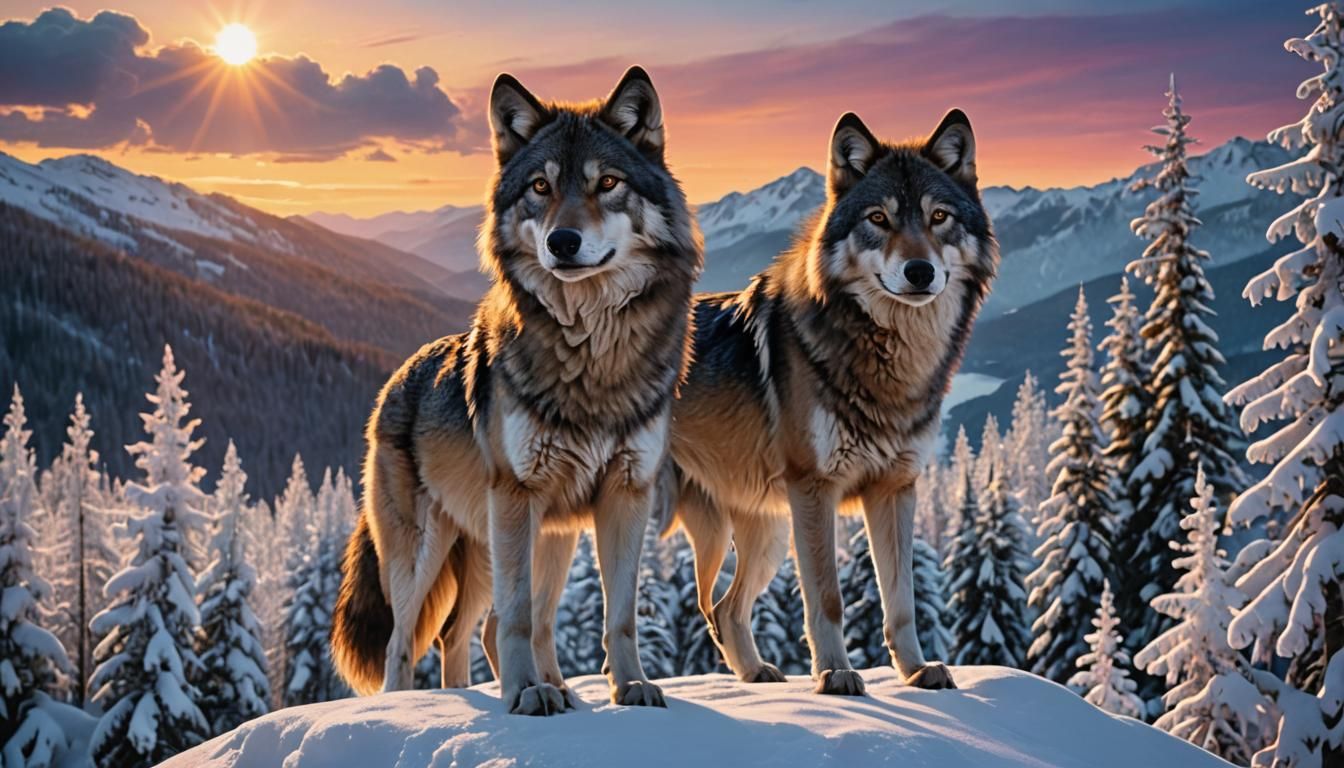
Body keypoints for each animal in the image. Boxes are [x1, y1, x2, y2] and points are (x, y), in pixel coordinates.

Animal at [330, 66, 701, 715]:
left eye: (607, 183)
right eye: (539, 187)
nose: (562, 242)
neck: (591, 353)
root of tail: (394, 382)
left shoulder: (625, 494)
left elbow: (620, 615)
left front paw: (630, 688)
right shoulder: (516, 493)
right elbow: (518, 618)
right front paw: (526, 695)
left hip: (536, 538)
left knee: (474, 630)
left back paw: (532, 691)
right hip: (432, 549)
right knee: (410, 640)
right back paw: (418, 706)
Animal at [667, 110, 997, 695]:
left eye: (938, 217)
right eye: (878, 219)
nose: (920, 272)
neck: (888, 362)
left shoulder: (895, 489)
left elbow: (902, 601)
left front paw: (917, 672)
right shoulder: (815, 489)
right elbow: (828, 598)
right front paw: (836, 674)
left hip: (768, 532)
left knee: (724, 608)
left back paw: (756, 675)